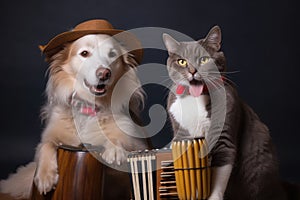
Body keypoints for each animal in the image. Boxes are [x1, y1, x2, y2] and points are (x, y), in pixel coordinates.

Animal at [0, 19, 150, 198]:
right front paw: (45, 176)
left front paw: (114, 149)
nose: (104, 73)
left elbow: (120, 140)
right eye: (84, 53)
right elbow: (46, 145)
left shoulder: (135, 142)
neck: (89, 107)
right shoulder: (49, 135)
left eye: (112, 54)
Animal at [163, 26, 288, 200]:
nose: (193, 70)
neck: (195, 97)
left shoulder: (224, 129)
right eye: (182, 61)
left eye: (204, 59)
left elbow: (221, 169)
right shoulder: (180, 130)